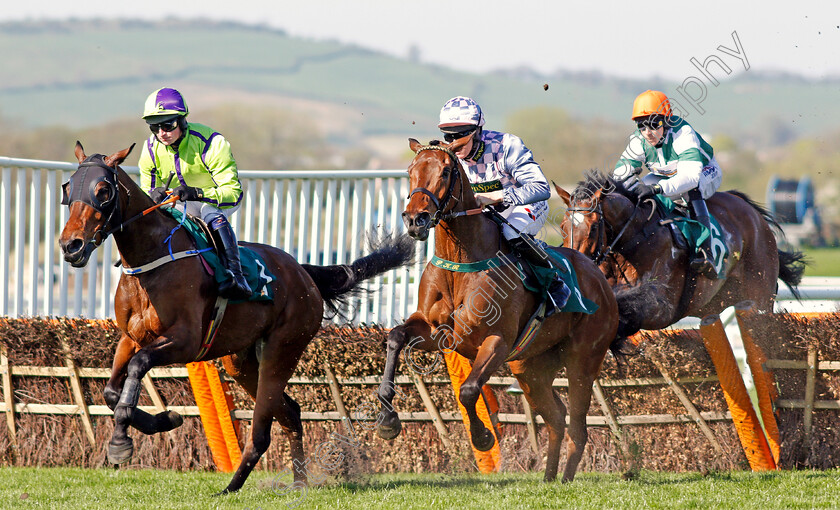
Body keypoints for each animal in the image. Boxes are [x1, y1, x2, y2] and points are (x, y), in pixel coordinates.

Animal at [58, 141, 414, 492]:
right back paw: (297, 483)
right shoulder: (131, 337)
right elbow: (111, 391)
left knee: (262, 430)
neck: (153, 260)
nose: (71, 245)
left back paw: (232, 486)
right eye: (68, 187)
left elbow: (137, 366)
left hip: (282, 349)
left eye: (103, 190)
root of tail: (304, 273)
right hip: (241, 362)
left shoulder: (184, 341)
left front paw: (120, 443)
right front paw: (164, 419)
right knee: (290, 412)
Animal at [378, 138, 620, 482]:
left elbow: (468, 391)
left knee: (577, 425)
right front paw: (387, 420)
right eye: (411, 171)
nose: (415, 220)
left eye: (446, 171)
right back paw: (549, 478)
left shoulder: (496, 341)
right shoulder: (437, 332)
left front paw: (482, 437)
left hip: (582, 362)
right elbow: (396, 337)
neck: (461, 262)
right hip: (530, 369)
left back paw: (566, 478)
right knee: (556, 418)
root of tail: (599, 278)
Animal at [556, 171, 804, 338]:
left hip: (760, 296)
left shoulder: (661, 307)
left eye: (593, 228)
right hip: (715, 303)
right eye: (562, 226)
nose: (576, 267)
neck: (635, 237)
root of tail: (753, 213)